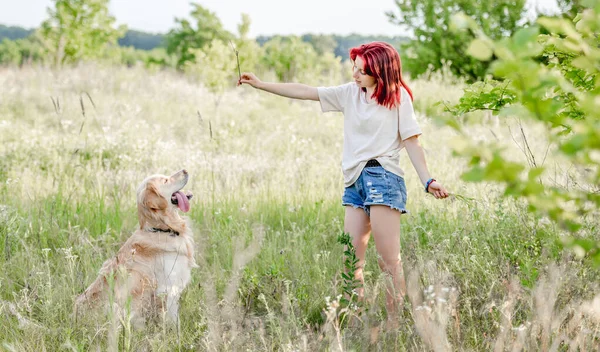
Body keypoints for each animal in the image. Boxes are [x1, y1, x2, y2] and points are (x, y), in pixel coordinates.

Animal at [74, 169, 197, 326]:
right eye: (165, 180)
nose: (185, 170)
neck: (160, 229)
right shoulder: (169, 288)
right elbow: (173, 320)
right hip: (116, 308)